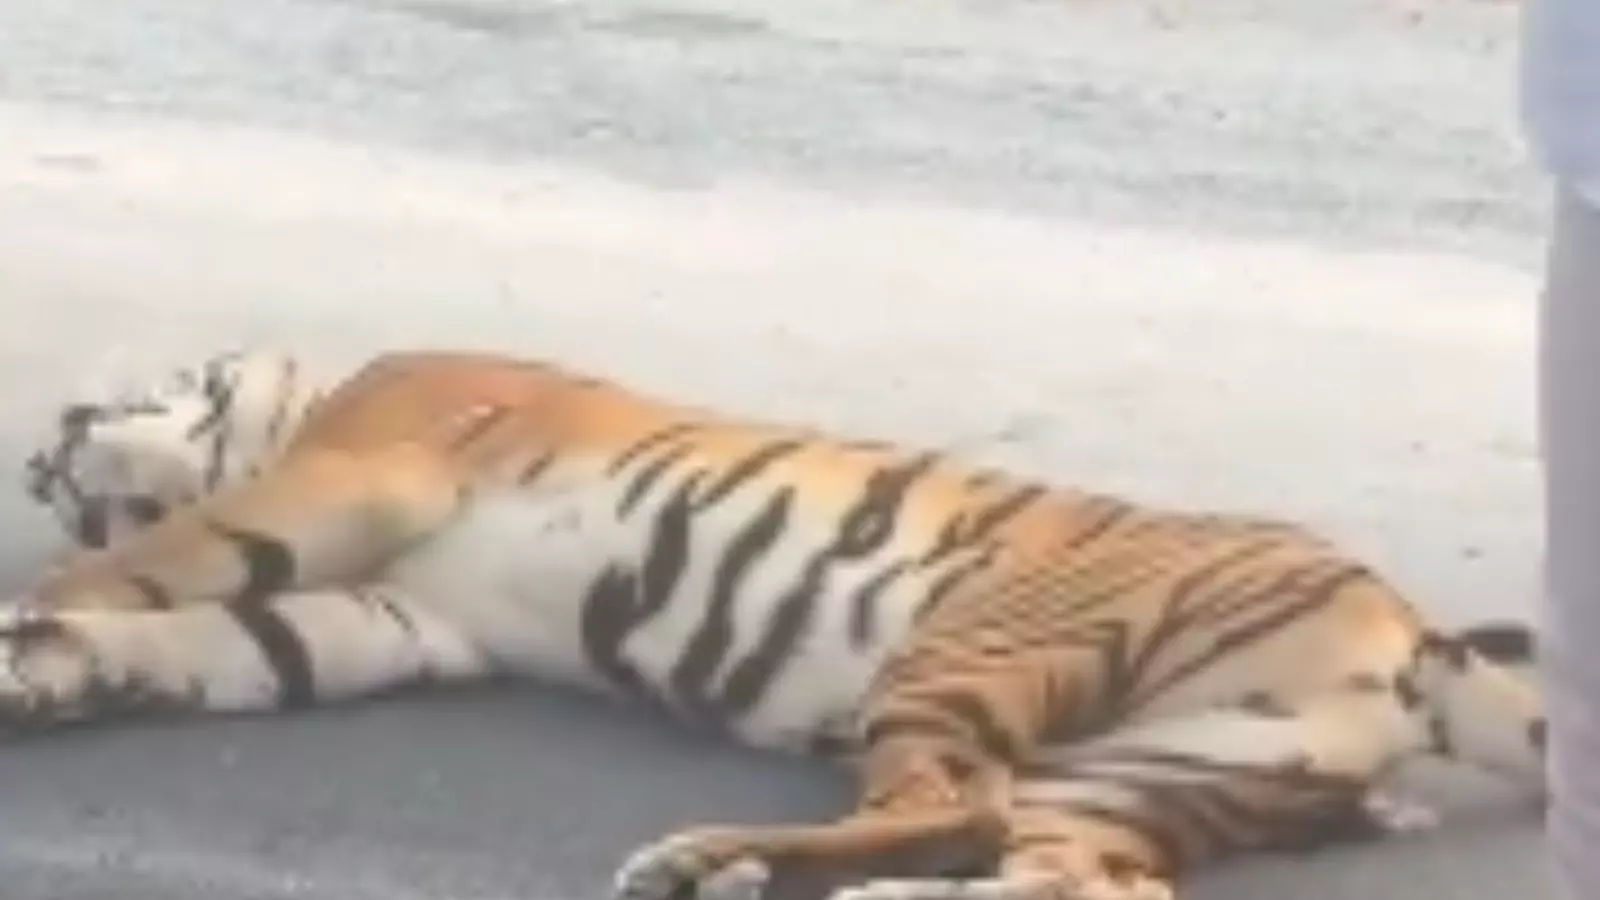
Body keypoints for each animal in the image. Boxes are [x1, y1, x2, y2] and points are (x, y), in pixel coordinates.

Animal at [12, 347, 1544, 900]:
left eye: (129, 390)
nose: (45, 440)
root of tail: (1415, 632)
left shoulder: (365, 464)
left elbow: (159, 559)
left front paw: (29, 628)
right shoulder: (399, 614)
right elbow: (218, 641)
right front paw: (65, 677)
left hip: (969, 650)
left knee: (956, 804)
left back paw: (716, 864)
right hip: (1144, 775)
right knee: (1072, 877)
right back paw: (749, 873)